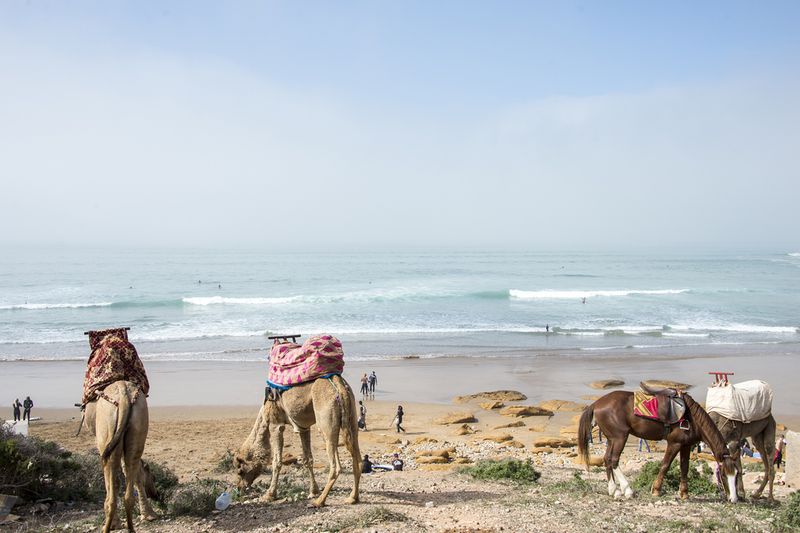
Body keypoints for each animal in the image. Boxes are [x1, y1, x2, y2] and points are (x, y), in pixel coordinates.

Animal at [83, 380, 156, 528]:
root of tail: (123, 392)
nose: (155, 494)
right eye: (152, 476)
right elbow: (135, 476)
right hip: (138, 426)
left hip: (106, 433)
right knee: (130, 470)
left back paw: (110, 524)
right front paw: (148, 515)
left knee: (111, 477)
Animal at [234, 374, 362, 508]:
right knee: (358, 460)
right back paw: (352, 498)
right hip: (352, 417)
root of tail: (340, 386)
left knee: (335, 465)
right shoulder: (303, 428)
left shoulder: (275, 424)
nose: (239, 488)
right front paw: (313, 491)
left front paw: (269, 495)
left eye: (240, 471)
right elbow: (308, 459)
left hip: (326, 423)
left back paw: (319, 501)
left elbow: (276, 462)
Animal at [580, 388, 736, 500]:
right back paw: (627, 491)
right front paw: (656, 490)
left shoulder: (685, 446)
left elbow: (684, 468)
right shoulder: (674, 443)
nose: (733, 499)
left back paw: (614, 490)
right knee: (613, 460)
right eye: (723, 475)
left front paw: (684, 494)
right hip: (619, 438)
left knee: (607, 459)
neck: (692, 419)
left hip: (612, 439)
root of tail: (596, 404)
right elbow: (665, 465)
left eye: (737, 475)